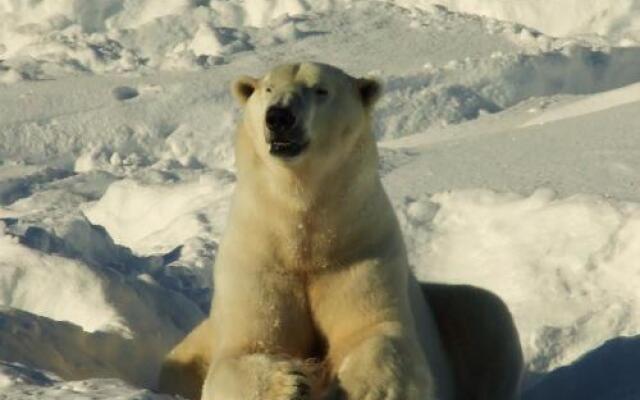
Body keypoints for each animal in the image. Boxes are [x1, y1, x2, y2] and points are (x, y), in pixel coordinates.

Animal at [158, 63, 524, 400]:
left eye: (320, 90)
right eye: (267, 89)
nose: (279, 117)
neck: (303, 231)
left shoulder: (360, 250)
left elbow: (376, 331)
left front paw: (356, 389)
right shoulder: (258, 258)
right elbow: (245, 348)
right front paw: (290, 383)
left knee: (489, 314)